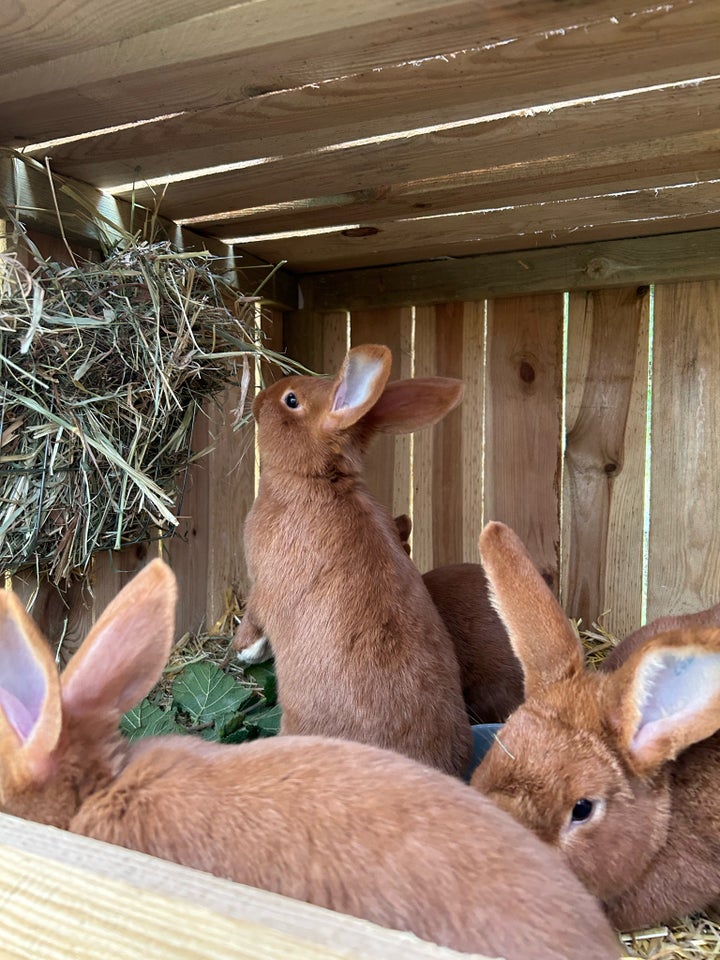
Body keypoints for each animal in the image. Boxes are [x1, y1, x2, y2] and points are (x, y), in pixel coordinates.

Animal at [233, 344, 476, 780]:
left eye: (291, 400)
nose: (259, 401)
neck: (316, 479)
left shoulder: (262, 584)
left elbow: (254, 617)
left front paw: (243, 651)